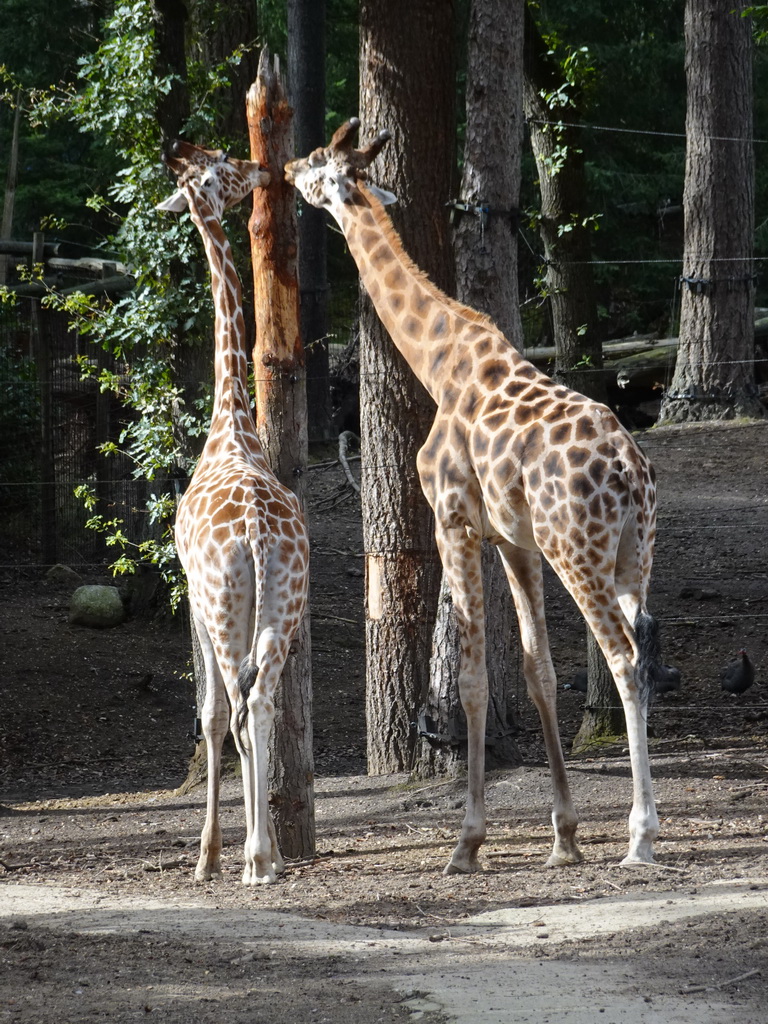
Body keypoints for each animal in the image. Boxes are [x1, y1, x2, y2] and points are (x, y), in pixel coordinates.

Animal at [286, 117, 663, 872]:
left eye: (316, 162)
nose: (283, 170)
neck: (437, 362)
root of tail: (630, 475)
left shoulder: (453, 520)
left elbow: (468, 681)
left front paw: (467, 842)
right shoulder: (515, 540)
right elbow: (536, 669)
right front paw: (564, 837)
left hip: (580, 553)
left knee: (626, 659)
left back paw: (641, 836)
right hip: (633, 556)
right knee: (642, 650)